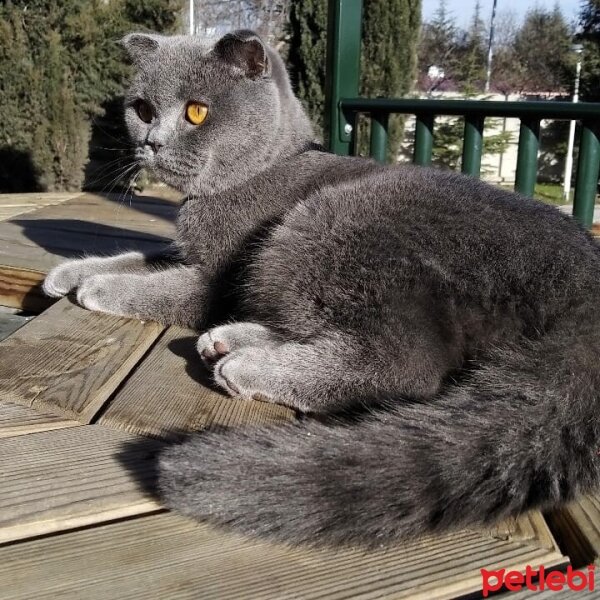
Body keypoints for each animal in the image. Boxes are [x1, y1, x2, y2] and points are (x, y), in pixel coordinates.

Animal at [44, 31, 600, 548]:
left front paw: (96, 286)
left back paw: (245, 365)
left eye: (196, 112)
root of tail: (584, 282)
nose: (151, 142)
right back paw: (228, 342)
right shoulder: (193, 256)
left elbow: (159, 286)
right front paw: (71, 273)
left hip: (326, 220)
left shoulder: (218, 280)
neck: (258, 171)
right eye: (143, 109)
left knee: (409, 364)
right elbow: (144, 257)